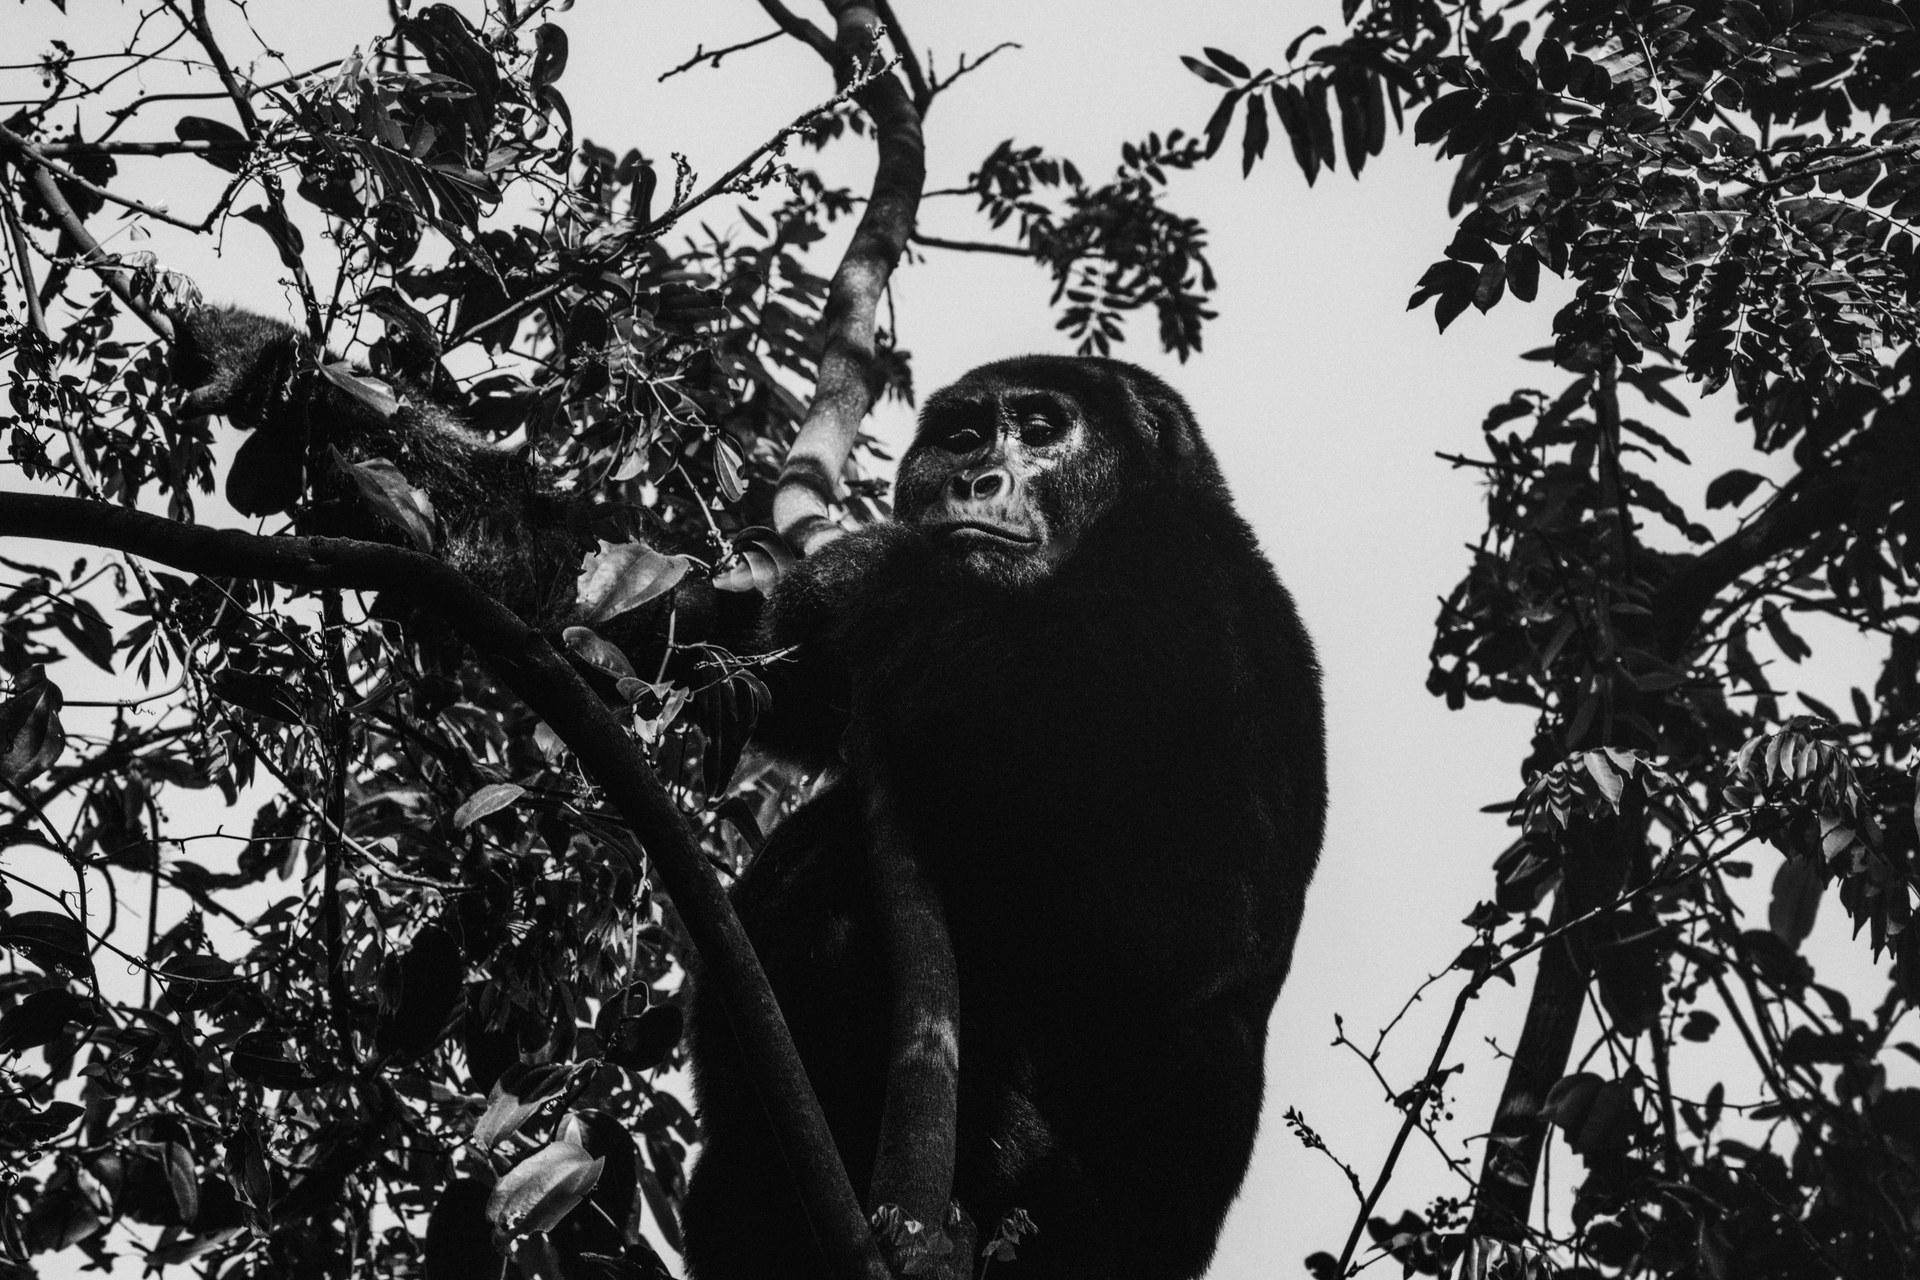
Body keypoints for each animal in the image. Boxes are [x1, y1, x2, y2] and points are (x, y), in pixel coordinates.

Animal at [681, 356, 1326, 1280]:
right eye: (962, 436)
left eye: (1043, 429)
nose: (975, 478)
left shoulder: (1170, 575)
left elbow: (1166, 920)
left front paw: (863, 567)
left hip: (1083, 1230)